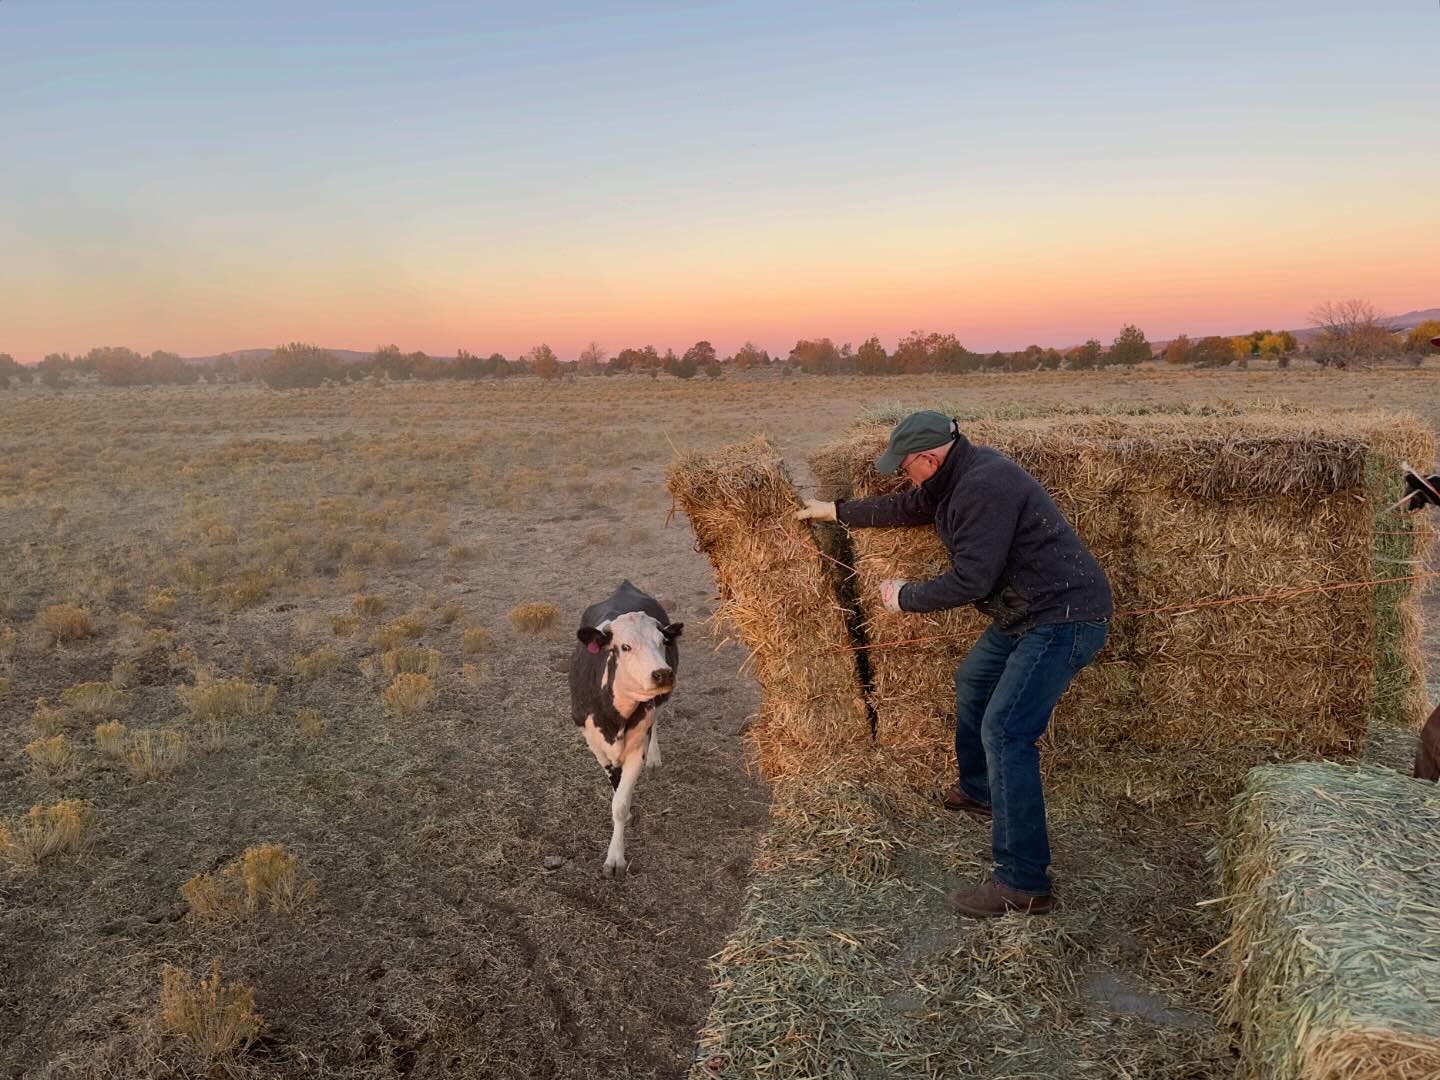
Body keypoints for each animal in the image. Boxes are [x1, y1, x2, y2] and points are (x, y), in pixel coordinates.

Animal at [570, 584, 682, 881]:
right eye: (625, 646)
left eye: (662, 641)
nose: (663, 673)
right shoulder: (595, 744)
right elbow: (615, 785)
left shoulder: (635, 748)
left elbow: (619, 804)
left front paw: (615, 858)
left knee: (656, 721)